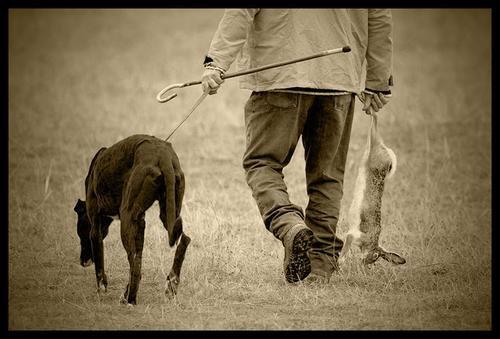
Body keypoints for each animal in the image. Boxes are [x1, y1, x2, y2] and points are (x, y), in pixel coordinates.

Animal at [73, 135, 190, 306]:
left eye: (80, 233)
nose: (83, 262)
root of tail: (164, 156)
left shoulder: (95, 227)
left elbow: (99, 264)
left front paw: (101, 289)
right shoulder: (139, 221)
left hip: (127, 218)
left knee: (135, 262)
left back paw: (131, 299)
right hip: (168, 213)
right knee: (183, 239)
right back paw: (170, 285)